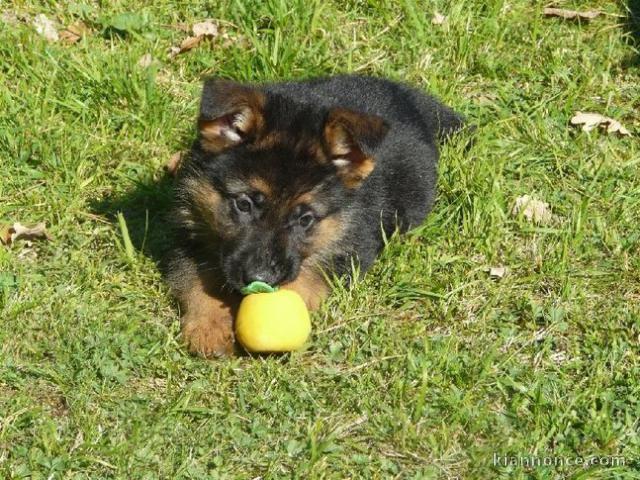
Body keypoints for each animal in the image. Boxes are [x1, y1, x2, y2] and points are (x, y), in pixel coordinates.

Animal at [165, 75, 464, 358]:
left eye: (305, 219)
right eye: (243, 204)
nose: (260, 279)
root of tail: (406, 96)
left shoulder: (352, 242)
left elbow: (309, 276)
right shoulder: (187, 229)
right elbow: (195, 280)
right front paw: (209, 327)